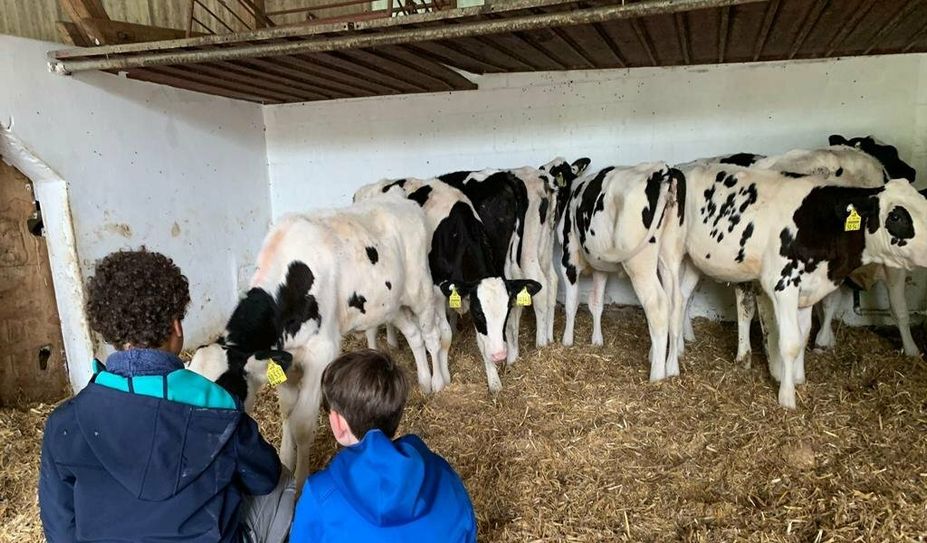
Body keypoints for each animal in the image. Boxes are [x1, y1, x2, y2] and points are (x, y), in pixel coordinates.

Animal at [188, 200, 446, 492]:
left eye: (223, 390)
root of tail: (407, 203)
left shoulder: (320, 353)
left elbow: (301, 423)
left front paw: (300, 482)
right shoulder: (286, 359)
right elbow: (287, 412)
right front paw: (285, 461)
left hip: (420, 291)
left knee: (430, 336)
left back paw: (437, 383)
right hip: (391, 304)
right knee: (414, 336)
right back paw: (424, 381)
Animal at [356, 181, 544, 394]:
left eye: (507, 311)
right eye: (478, 313)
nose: (499, 355)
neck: (456, 232)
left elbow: (481, 340)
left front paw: (494, 380)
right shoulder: (437, 292)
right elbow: (444, 335)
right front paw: (442, 379)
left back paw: (393, 342)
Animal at [560, 163, 680, 382]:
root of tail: (661, 169)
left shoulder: (568, 258)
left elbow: (571, 303)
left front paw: (567, 340)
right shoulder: (600, 267)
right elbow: (596, 303)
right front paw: (597, 340)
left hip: (640, 264)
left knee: (658, 306)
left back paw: (657, 375)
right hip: (670, 257)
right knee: (676, 303)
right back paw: (672, 367)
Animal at [664, 166, 927, 408]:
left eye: (925, 206)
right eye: (897, 217)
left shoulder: (809, 290)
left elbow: (803, 336)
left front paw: (799, 379)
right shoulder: (783, 285)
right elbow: (789, 343)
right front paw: (787, 397)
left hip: (694, 261)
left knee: (683, 298)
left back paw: (680, 349)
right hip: (672, 255)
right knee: (673, 302)